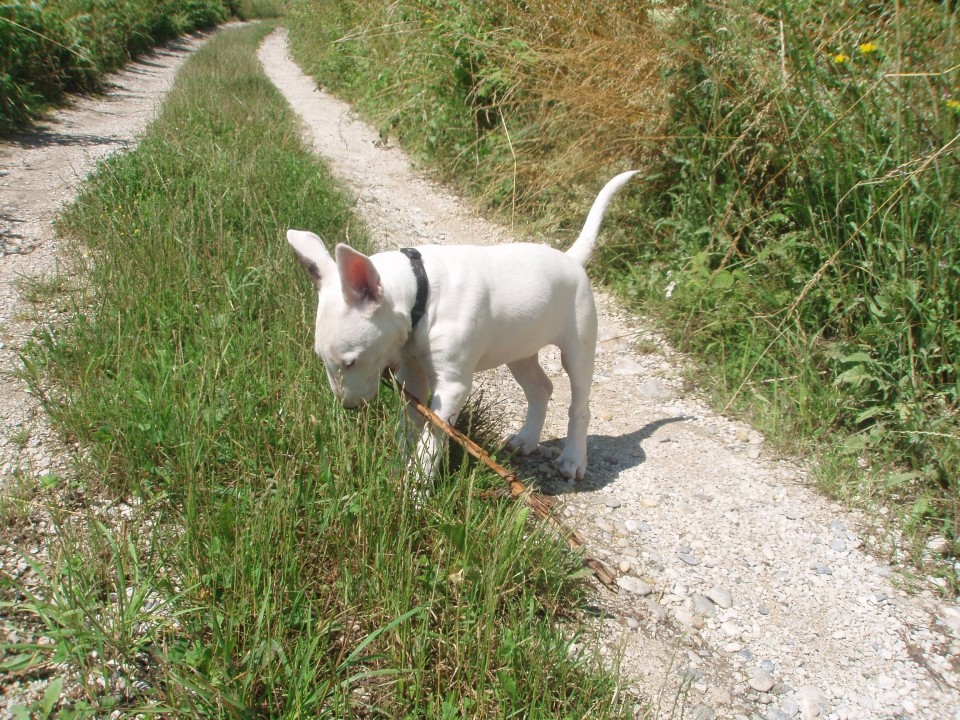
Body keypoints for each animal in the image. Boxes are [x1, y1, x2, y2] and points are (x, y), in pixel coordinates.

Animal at [288, 170, 640, 484]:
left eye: (351, 361)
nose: (350, 407)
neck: (421, 290)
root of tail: (571, 259)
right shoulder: (412, 375)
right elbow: (409, 427)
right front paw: (398, 468)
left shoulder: (452, 386)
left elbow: (432, 439)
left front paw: (414, 489)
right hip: (519, 349)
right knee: (541, 387)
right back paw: (526, 439)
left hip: (578, 346)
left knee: (579, 404)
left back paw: (573, 459)